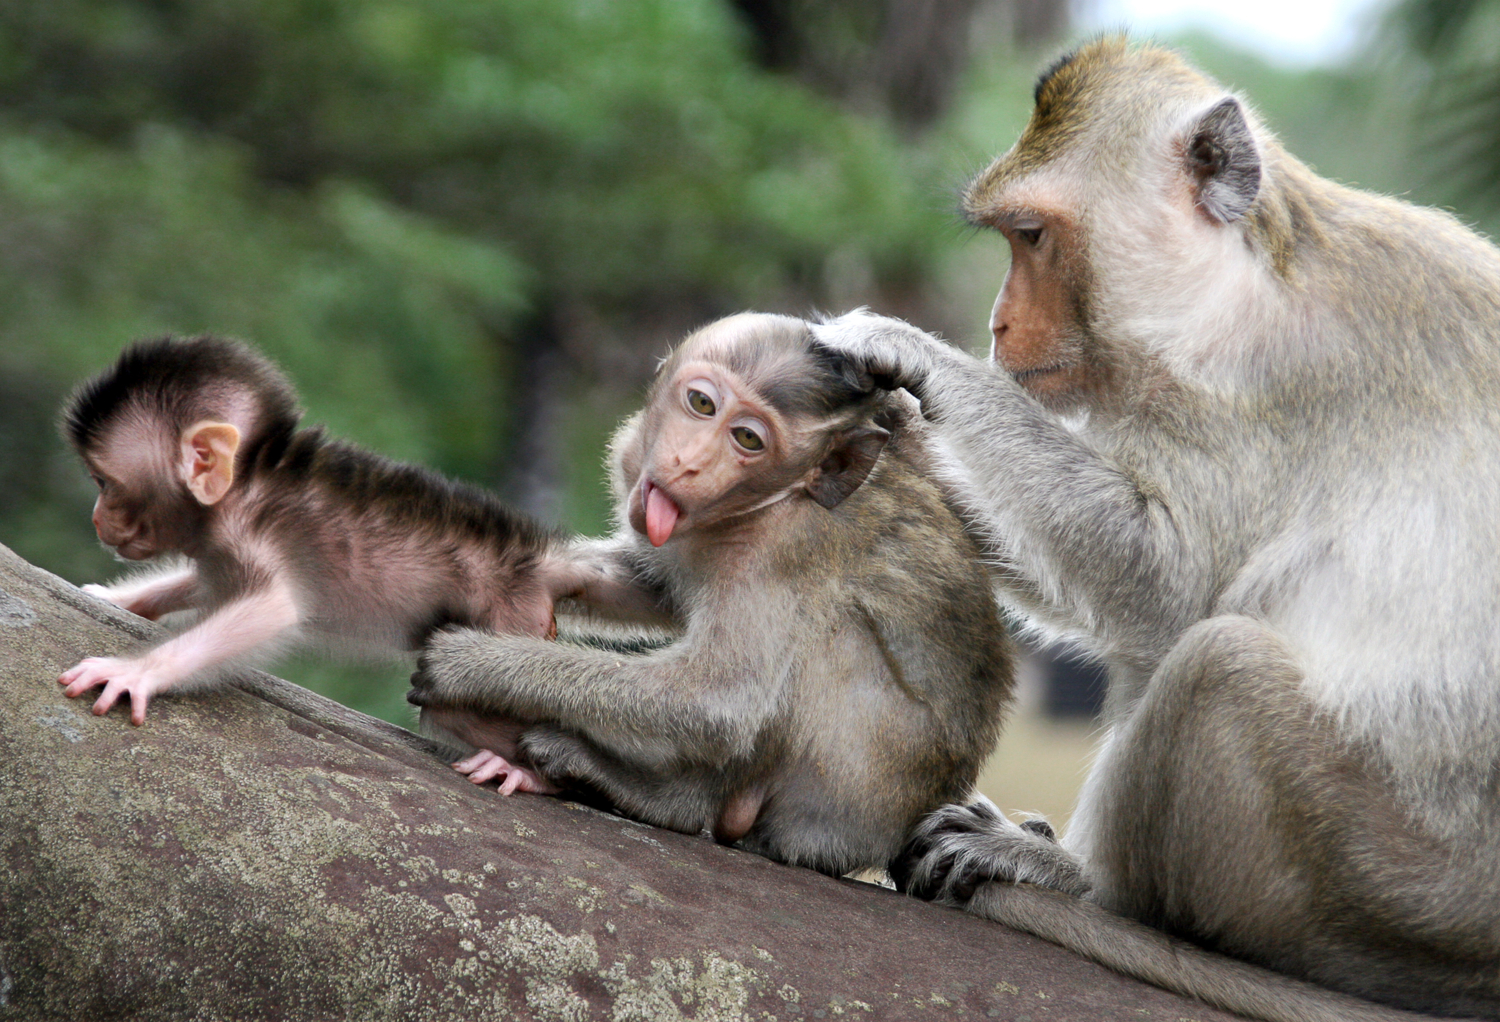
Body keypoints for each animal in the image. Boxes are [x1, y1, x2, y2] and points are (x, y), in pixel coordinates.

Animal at [54, 339, 579, 729]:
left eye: (104, 483)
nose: (97, 519)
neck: (244, 484)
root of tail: (539, 559)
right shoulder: (221, 549)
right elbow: (204, 583)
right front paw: (118, 598)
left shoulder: (251, 533)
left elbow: (270, 610)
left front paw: (135, 671)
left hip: (510, 618)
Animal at [408, 313, 1020, 876]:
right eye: (702, 403)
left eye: (748, 438)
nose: (690, 463)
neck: (762, 507)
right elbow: (661, 588)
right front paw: (544, 574)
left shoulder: (779, 553)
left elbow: (717, 698)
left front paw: (469, 664)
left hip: (847, 799)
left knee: (819, 642)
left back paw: (656, 794)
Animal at [816, 35, 1500, 1020]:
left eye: (1032, 236)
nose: (997, 324)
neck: (1252, 284)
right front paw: (894, 433)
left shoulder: (1254, 398)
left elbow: (1160, 583)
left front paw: (913, 356)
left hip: (1386, 893)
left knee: (1220, 663)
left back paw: (1083, 883)